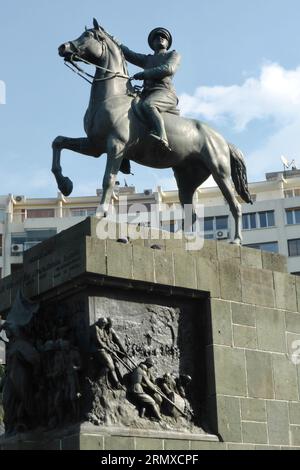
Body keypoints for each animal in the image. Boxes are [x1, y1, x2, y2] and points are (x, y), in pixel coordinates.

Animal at [52, 19, 252, 242]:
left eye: (89, 36)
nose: (63, 47)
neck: (112, 98)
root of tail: (222, 139)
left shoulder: (116, 146)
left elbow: (108, 179)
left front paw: (100, 212)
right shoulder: (94, 146)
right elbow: (58, 142)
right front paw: (65, 184)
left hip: (220, 173)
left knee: (234, 204)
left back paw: (236, 240)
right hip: (187, 179)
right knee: (190, 210)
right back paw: (184, 237)